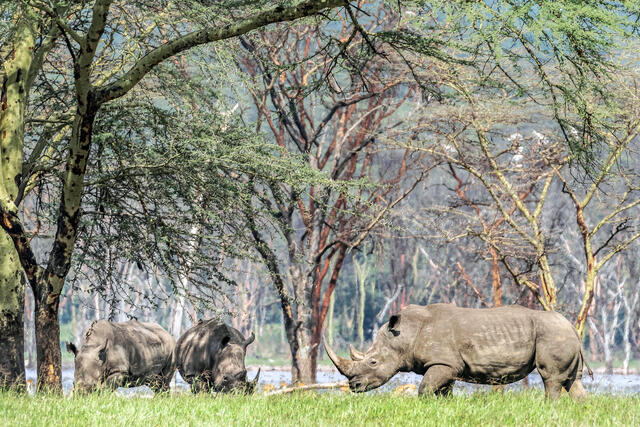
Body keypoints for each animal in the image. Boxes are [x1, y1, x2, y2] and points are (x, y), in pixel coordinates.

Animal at [325, 304, 592, 399]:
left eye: (372, 362)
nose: (353, 386)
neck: (405, 335)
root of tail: (571, 326)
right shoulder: (448, 365)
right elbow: (443, 390)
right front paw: (444, 407)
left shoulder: (443, 363)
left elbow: (425, 389)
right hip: (562, 335)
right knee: (573, 381)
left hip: (552, 334)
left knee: (551, 379)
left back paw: (549, 406)